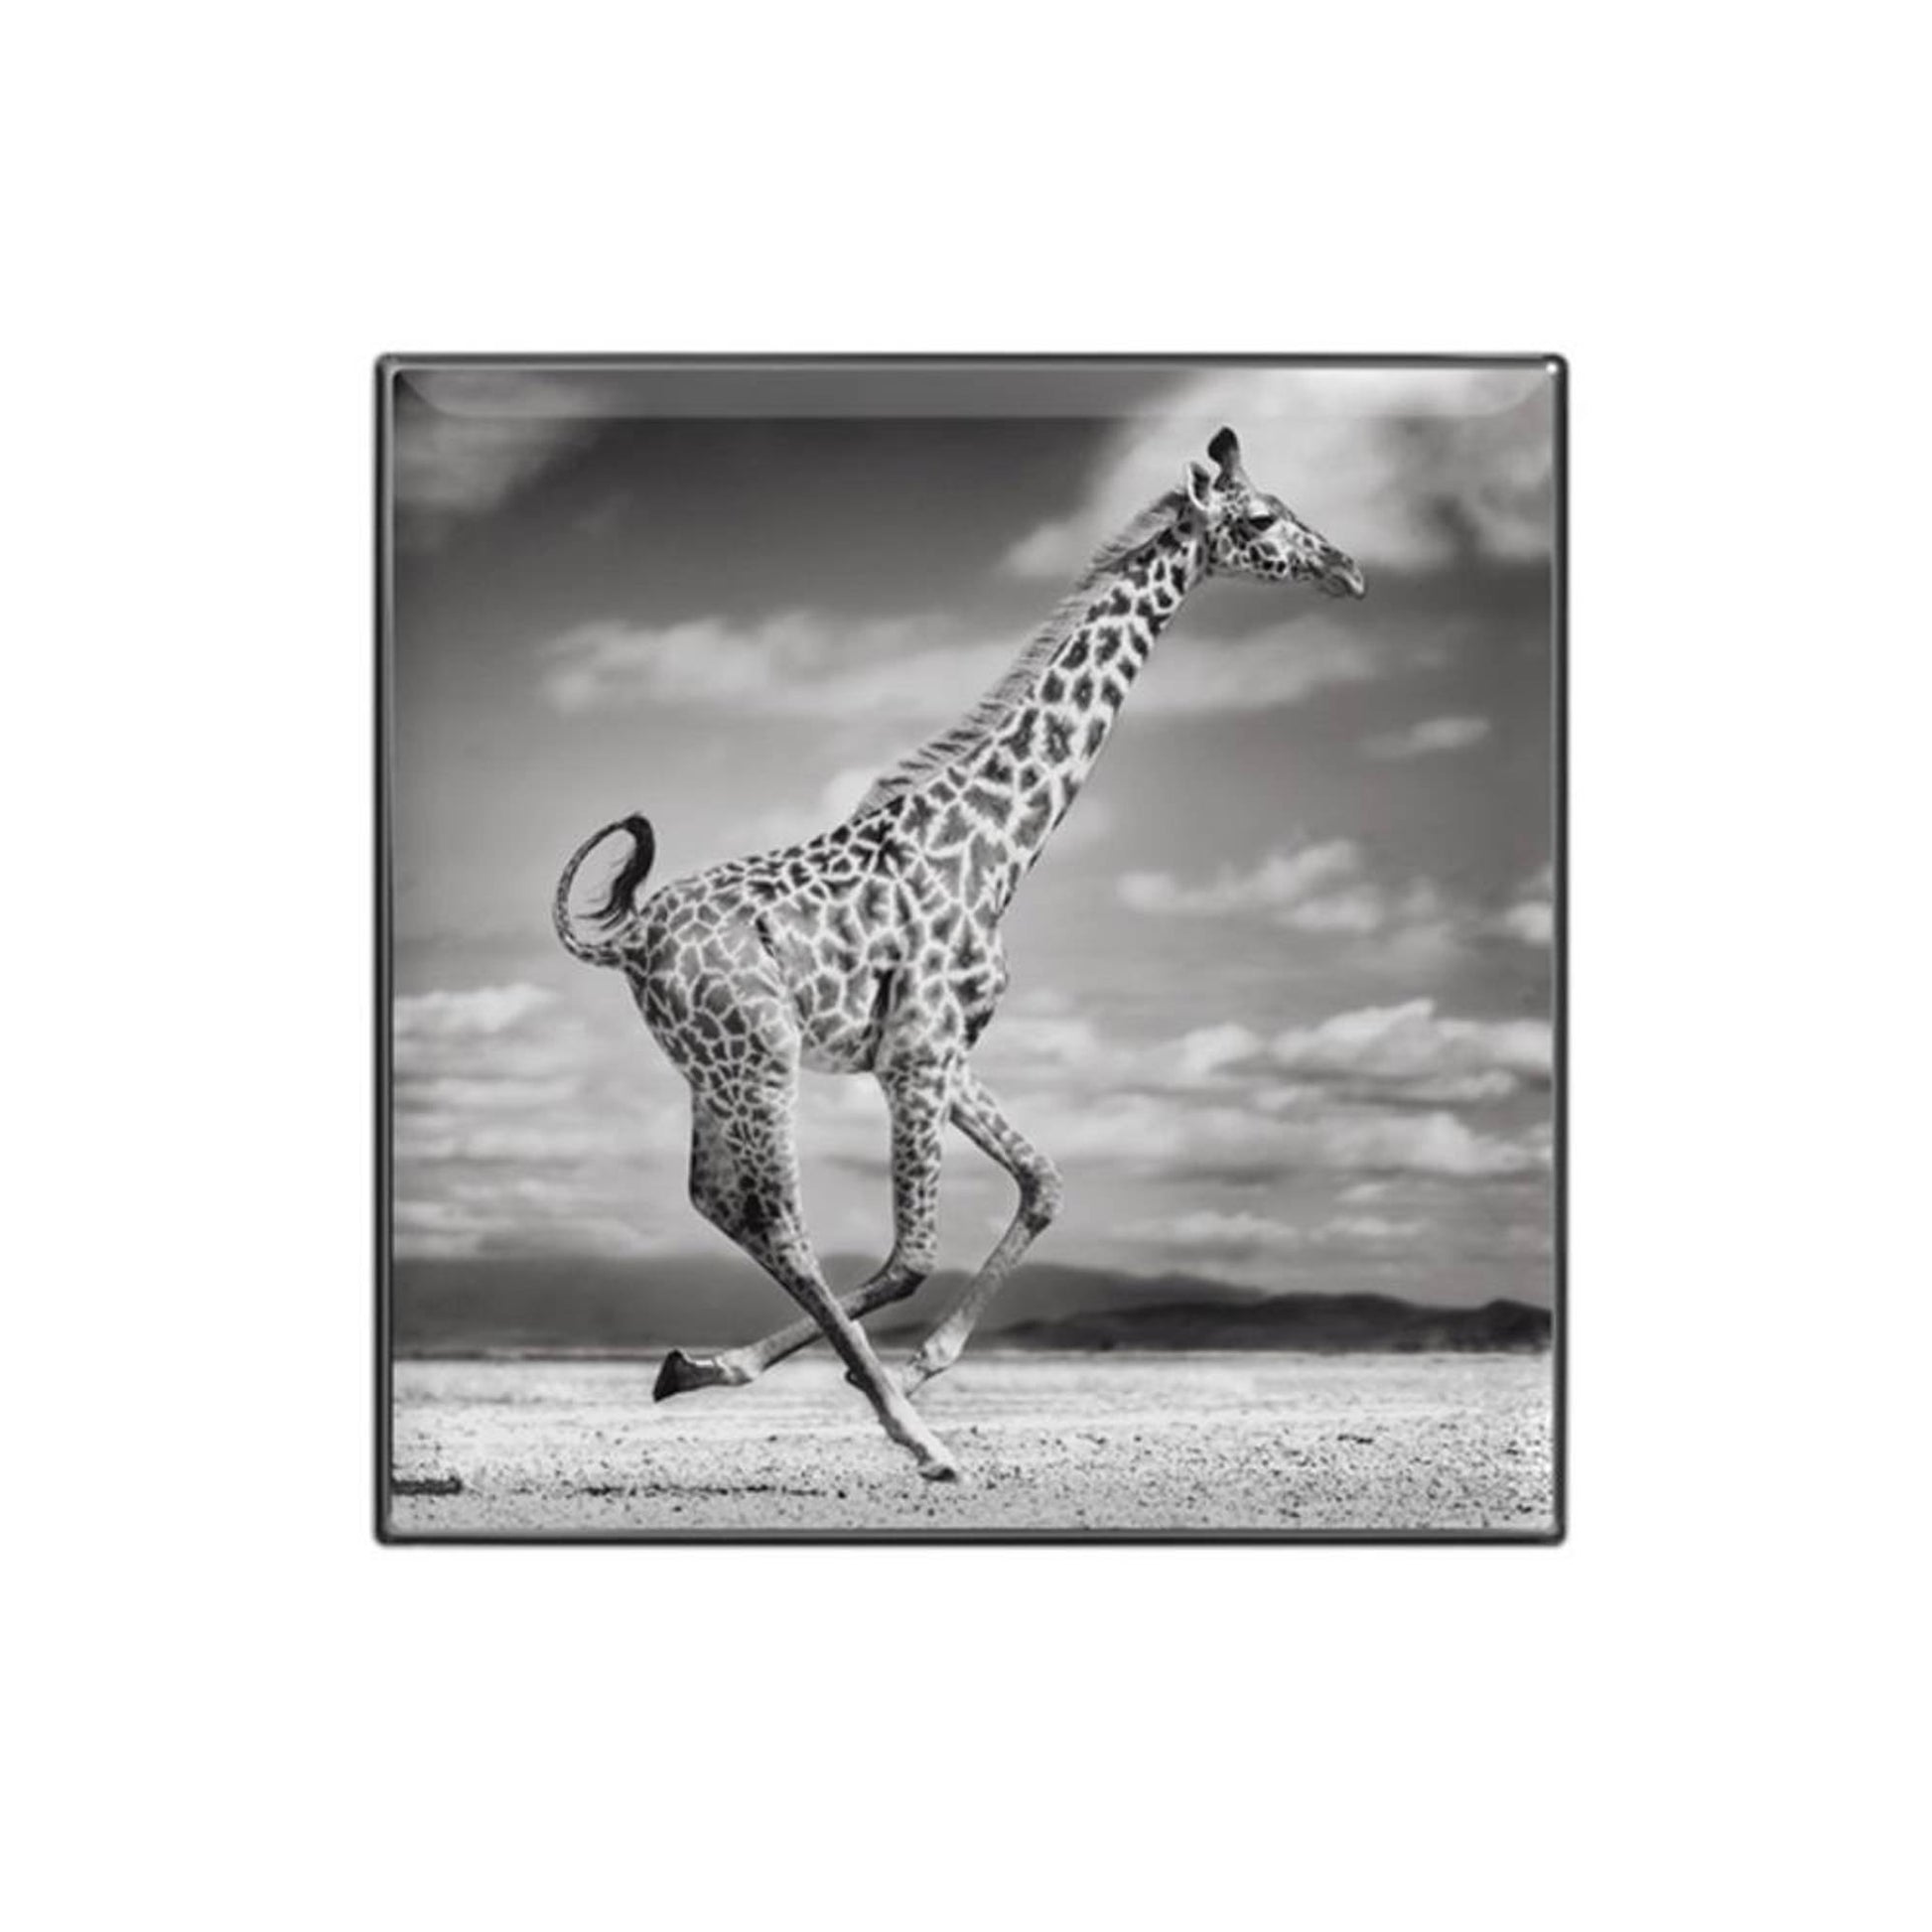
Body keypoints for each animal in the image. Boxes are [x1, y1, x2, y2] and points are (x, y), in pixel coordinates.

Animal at [552, 427, 1365, 1478]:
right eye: (1260, 518)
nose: (1349, 570)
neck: (1000, 842)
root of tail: (629, 939)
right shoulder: (916, 1056)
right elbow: (912, 1255)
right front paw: (901, 1390)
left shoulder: (941, 1051)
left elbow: (1044, 1184)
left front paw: (906, 1364)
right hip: (760, 1059)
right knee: (778, 1218)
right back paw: (917, 1436)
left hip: (711, 1070)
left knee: (719, 1202)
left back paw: (702, 1367)